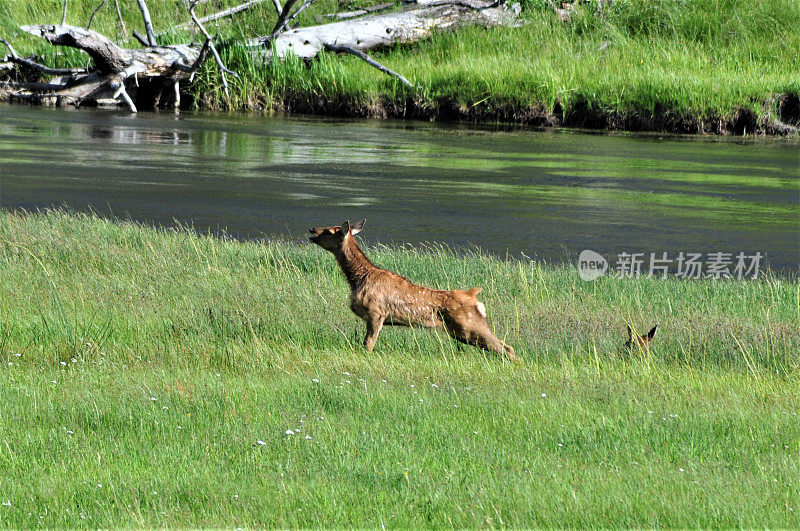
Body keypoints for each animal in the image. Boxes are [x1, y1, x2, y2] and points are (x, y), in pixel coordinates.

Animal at [306, 219, 520, 362]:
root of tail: (474, 297)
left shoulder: (376, 312)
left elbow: (368, 344)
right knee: (503, 346)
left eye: (329, 231)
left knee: (505, 347)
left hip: (469, 326)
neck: (358, 279)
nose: (311, 229)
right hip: (462, 332)